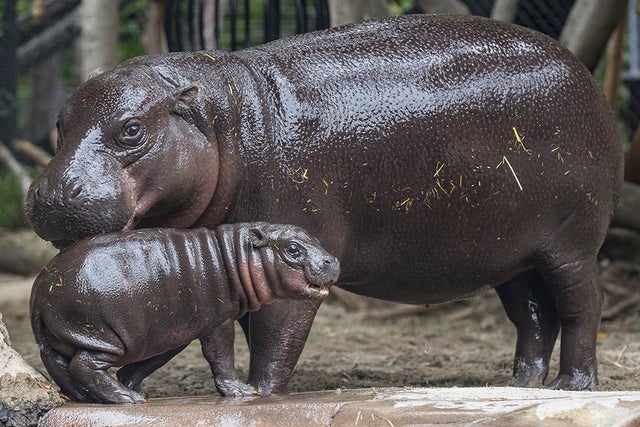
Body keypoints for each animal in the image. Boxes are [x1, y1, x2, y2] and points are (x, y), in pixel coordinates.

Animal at [30, 223, 340, 403]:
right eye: (292, 248)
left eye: (315, 236)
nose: (333, 260)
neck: (236, 253)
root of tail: (41, 282)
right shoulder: (219, 321)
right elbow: (221, 356)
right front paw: (242, 392)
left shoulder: (173, 329)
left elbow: (150, 361)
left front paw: (137, 386)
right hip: (101, 335)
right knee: (84, 365)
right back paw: (126, 399)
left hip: (67, 335)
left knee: (59, 365)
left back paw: (92, 397)